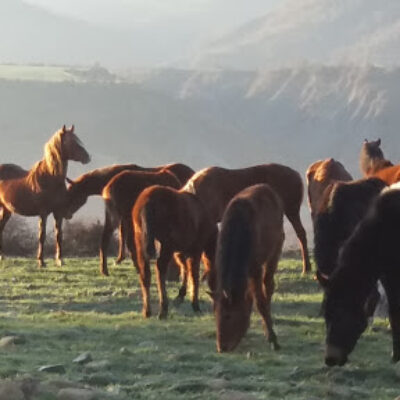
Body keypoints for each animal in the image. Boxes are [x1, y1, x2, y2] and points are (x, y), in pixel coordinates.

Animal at [0, 125, 90, 268]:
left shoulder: (58, 212)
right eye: (70, 142)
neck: (50, 178)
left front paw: (60, 260)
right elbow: (42, 236)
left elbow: (59, 235)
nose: (87, 157)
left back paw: (2, 256)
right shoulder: (43, 213)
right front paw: (41, 261)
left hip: (6, 210)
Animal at [64, 161, 194, 264]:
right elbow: (123, 233)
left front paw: (122, 257)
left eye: (74, 193)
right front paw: (121, 257)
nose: (67, 214)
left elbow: (123, 234)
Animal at [133, 184, 217, 318]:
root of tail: (148, 200)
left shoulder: (180, 252)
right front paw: (195, 305)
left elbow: (185, 269)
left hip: (140, 241)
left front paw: (181, 296)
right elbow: (194, 274)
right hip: (166, 245)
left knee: (145, 273)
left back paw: (147, 311)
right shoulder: (195, 250)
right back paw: (163, 309)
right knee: (160, 268)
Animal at [212, 184, 284, 354]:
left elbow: (260, 302)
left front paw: (272, 338)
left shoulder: (255, 267)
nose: (221, 347)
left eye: (228, 316)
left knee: (268, 285)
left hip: (276, 246)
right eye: (215, 313)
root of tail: (268, 188)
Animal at [324, 184, 400, 366]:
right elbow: (394, 314)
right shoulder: (389, 278)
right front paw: (395, 356)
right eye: (325, 315)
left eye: (341, 314)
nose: (330, 359)